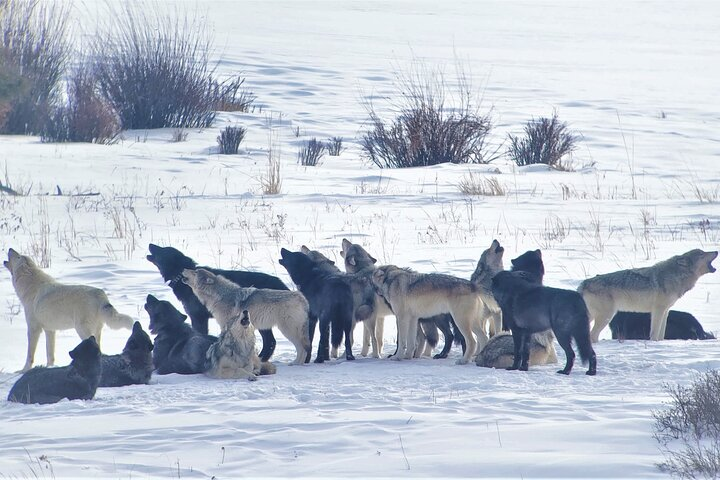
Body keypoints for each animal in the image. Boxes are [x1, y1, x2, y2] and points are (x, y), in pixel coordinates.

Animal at [4, 248, 134, 373]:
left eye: (18, 256)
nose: (10, 248)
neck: (31, 287)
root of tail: (101, 295)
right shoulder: (50, 330)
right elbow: (50, 355)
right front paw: (50, 367)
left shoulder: (34, 329)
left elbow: (30, 355)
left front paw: (23, 370)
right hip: (94, 332)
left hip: (82, 331)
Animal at [146, 243, 288, 361]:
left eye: (163, 249)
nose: (150, 244)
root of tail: (280, 283)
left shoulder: (198, 317)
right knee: (270, 341)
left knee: (270, 341)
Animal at [182, 268, 311, 365]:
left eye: (195, 272)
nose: (184, 269)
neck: (220, 296)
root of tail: (302, 297)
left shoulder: (226, 327)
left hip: (287, 330)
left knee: (302, 348)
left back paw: (295, 363)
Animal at [579, 249, 718, 342]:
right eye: (701, 253)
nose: (716, 251)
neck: (676, 276)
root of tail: (583, 284)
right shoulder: (657, 310)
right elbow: (654, 334)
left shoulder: (665, 311)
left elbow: (661, 335)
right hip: (606, 316)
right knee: (592, 336)